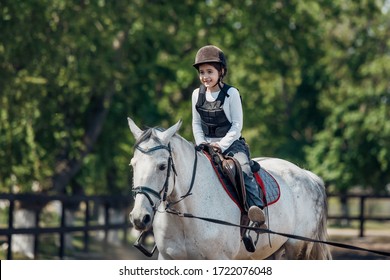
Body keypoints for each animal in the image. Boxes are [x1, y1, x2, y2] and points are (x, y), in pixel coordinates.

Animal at [128, 116, 332, 260]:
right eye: (133, 165)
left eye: (162, 166)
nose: (139, 217)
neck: (188, 216)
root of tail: (308, 176)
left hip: (296, 249)